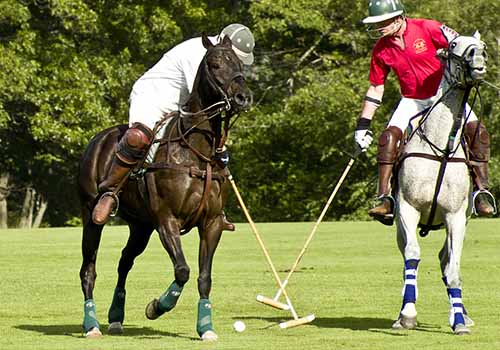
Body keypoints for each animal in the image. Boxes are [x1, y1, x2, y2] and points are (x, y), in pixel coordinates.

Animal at [78, 34, 254, 340]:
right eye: (215, 64)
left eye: (240, 64)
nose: (243, 98)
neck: (196, 151)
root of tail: (97, 139)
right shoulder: (167, 220)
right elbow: (182, 270)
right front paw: (156, 307)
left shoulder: (211, 223)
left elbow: (204, 277)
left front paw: (206, 327)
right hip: (91, 216)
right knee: (88, 270)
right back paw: (92, 325)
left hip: (140, 226)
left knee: (124, 261)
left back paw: (115, 317)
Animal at [392, 32, 486, 336]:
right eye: (454, 45)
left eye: (483, 47)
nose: (479, 60)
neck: (440, 148)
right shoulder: (407, 208)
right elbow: (412, 255)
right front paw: (407, 315)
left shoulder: (455, 216)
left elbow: (453, 269)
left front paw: (459, 322)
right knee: (407, 257)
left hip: (460, 220)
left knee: (446, 259)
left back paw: (461, 313)